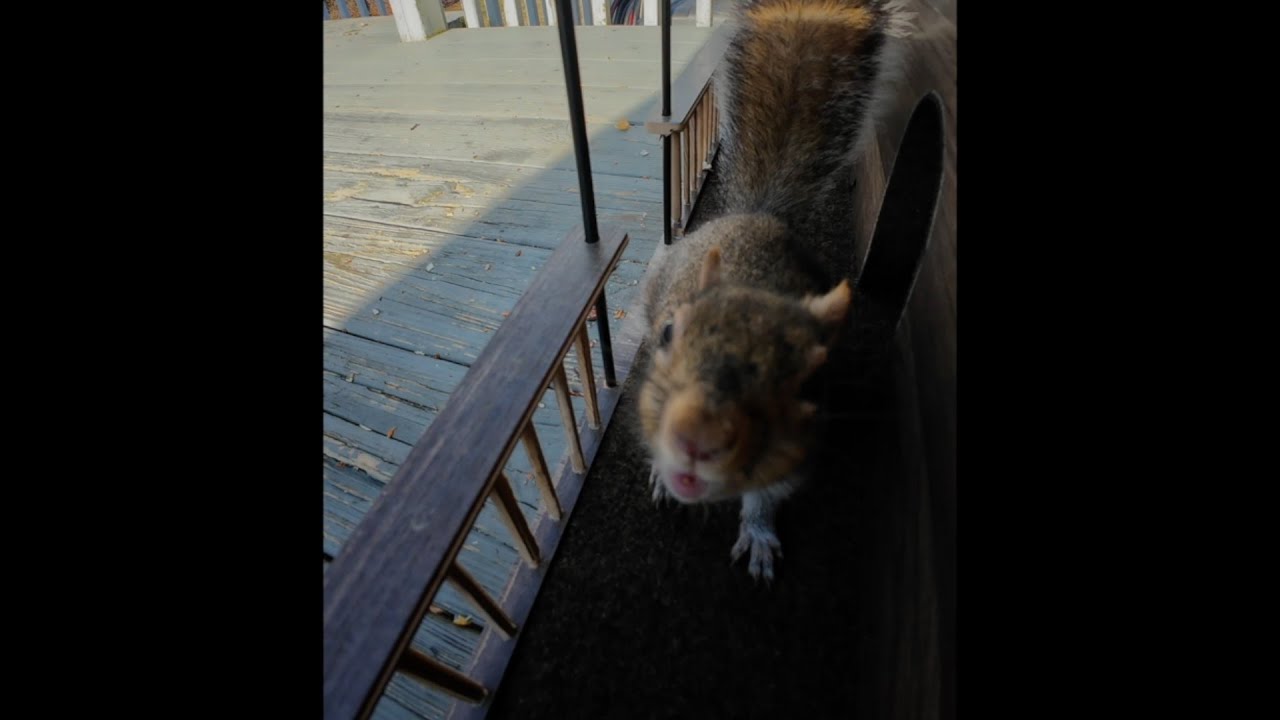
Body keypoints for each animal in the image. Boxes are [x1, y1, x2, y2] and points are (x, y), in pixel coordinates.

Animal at [638, 0, 915, 582]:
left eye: (808, 376)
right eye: (669, 335)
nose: (698, 440)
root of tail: (759, 215)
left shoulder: (795, 449)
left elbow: (766, 497)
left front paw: (760, 537)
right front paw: (660, 475)